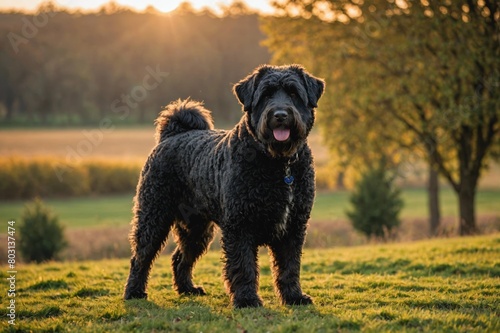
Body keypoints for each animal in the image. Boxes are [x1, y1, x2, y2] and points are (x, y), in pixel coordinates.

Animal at [126, 63, 324, 308]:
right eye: (266, 94)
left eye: (294, 93)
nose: (280, 115)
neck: (280, 163)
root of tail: (172, 135)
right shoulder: (240, 225)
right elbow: (244, 266)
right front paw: (247, 299)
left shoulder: (293, 227)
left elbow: (289, 267)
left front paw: (294, 296)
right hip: (154, 215)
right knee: (140, 256)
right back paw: (134, 291)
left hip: (197, 228)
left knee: (180, 257)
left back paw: (187, 288)